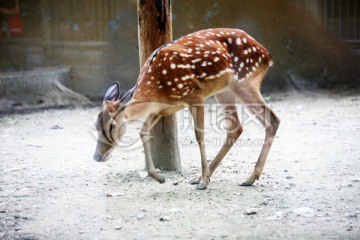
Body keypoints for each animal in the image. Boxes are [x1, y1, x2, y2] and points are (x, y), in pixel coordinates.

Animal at [93, 27, 278, 189]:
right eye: (95, 126)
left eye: (112, 126)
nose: (96, 156)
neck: (157, 89)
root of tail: (267, 55)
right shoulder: (161, 109)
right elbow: (143, 132)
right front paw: (159, 177)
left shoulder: (195, 94)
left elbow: (199, 135)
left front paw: (203, 182)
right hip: (224, 91)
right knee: (236, 128)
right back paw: (209, 176)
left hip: (245, 81)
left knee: (272, 119)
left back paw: (247, 178)